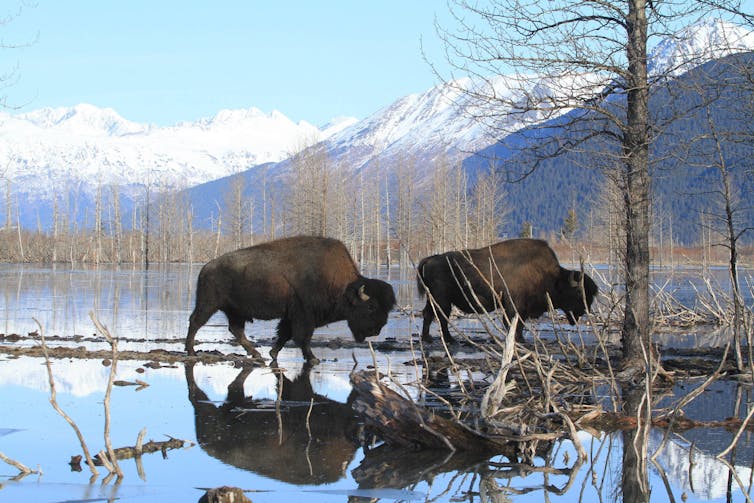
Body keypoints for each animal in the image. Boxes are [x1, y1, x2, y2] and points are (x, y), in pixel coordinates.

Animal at [186, 236, 396, 363]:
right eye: (371, 307)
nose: (376, 330)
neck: (344, 288)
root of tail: (207, 267)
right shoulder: (304, 316)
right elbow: (302, 337)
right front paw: (312, 358)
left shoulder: (290, 316)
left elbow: (285, 334)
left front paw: (273, 353)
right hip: (209, 304)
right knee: (195, 322)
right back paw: (190, 350)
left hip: (235, 311)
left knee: (236, 330)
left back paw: (256, 354)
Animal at [417, 238, 598, 344]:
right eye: (579, 292)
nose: (583, 311)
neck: (551, 276)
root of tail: (431, 259)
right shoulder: (515, 305)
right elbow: (513, 322)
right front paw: (518, 340)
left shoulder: (522, 307)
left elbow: (519, 323)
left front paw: (520, 339)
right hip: (442, 300)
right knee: (441, 317)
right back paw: (448, 339)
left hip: (434, 299)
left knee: (428, 314)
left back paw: (428, 338)